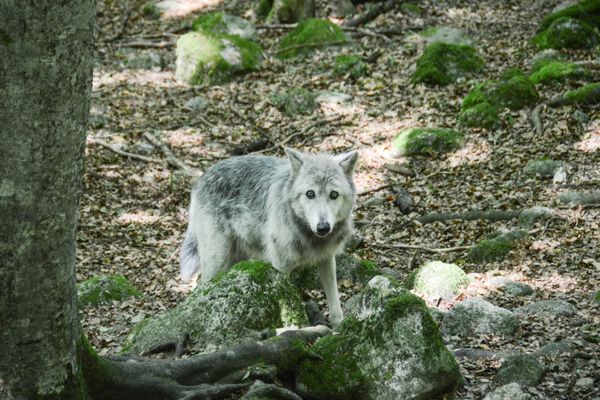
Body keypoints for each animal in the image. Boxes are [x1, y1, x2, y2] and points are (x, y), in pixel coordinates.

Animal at [178, 148, 356, 326]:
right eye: (310, 194)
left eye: (334, 195)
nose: (323, 227)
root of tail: (202, 177)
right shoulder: (280, 266)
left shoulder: (326, 258)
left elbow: (334, 302)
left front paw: (339, 326)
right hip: (216, 260)